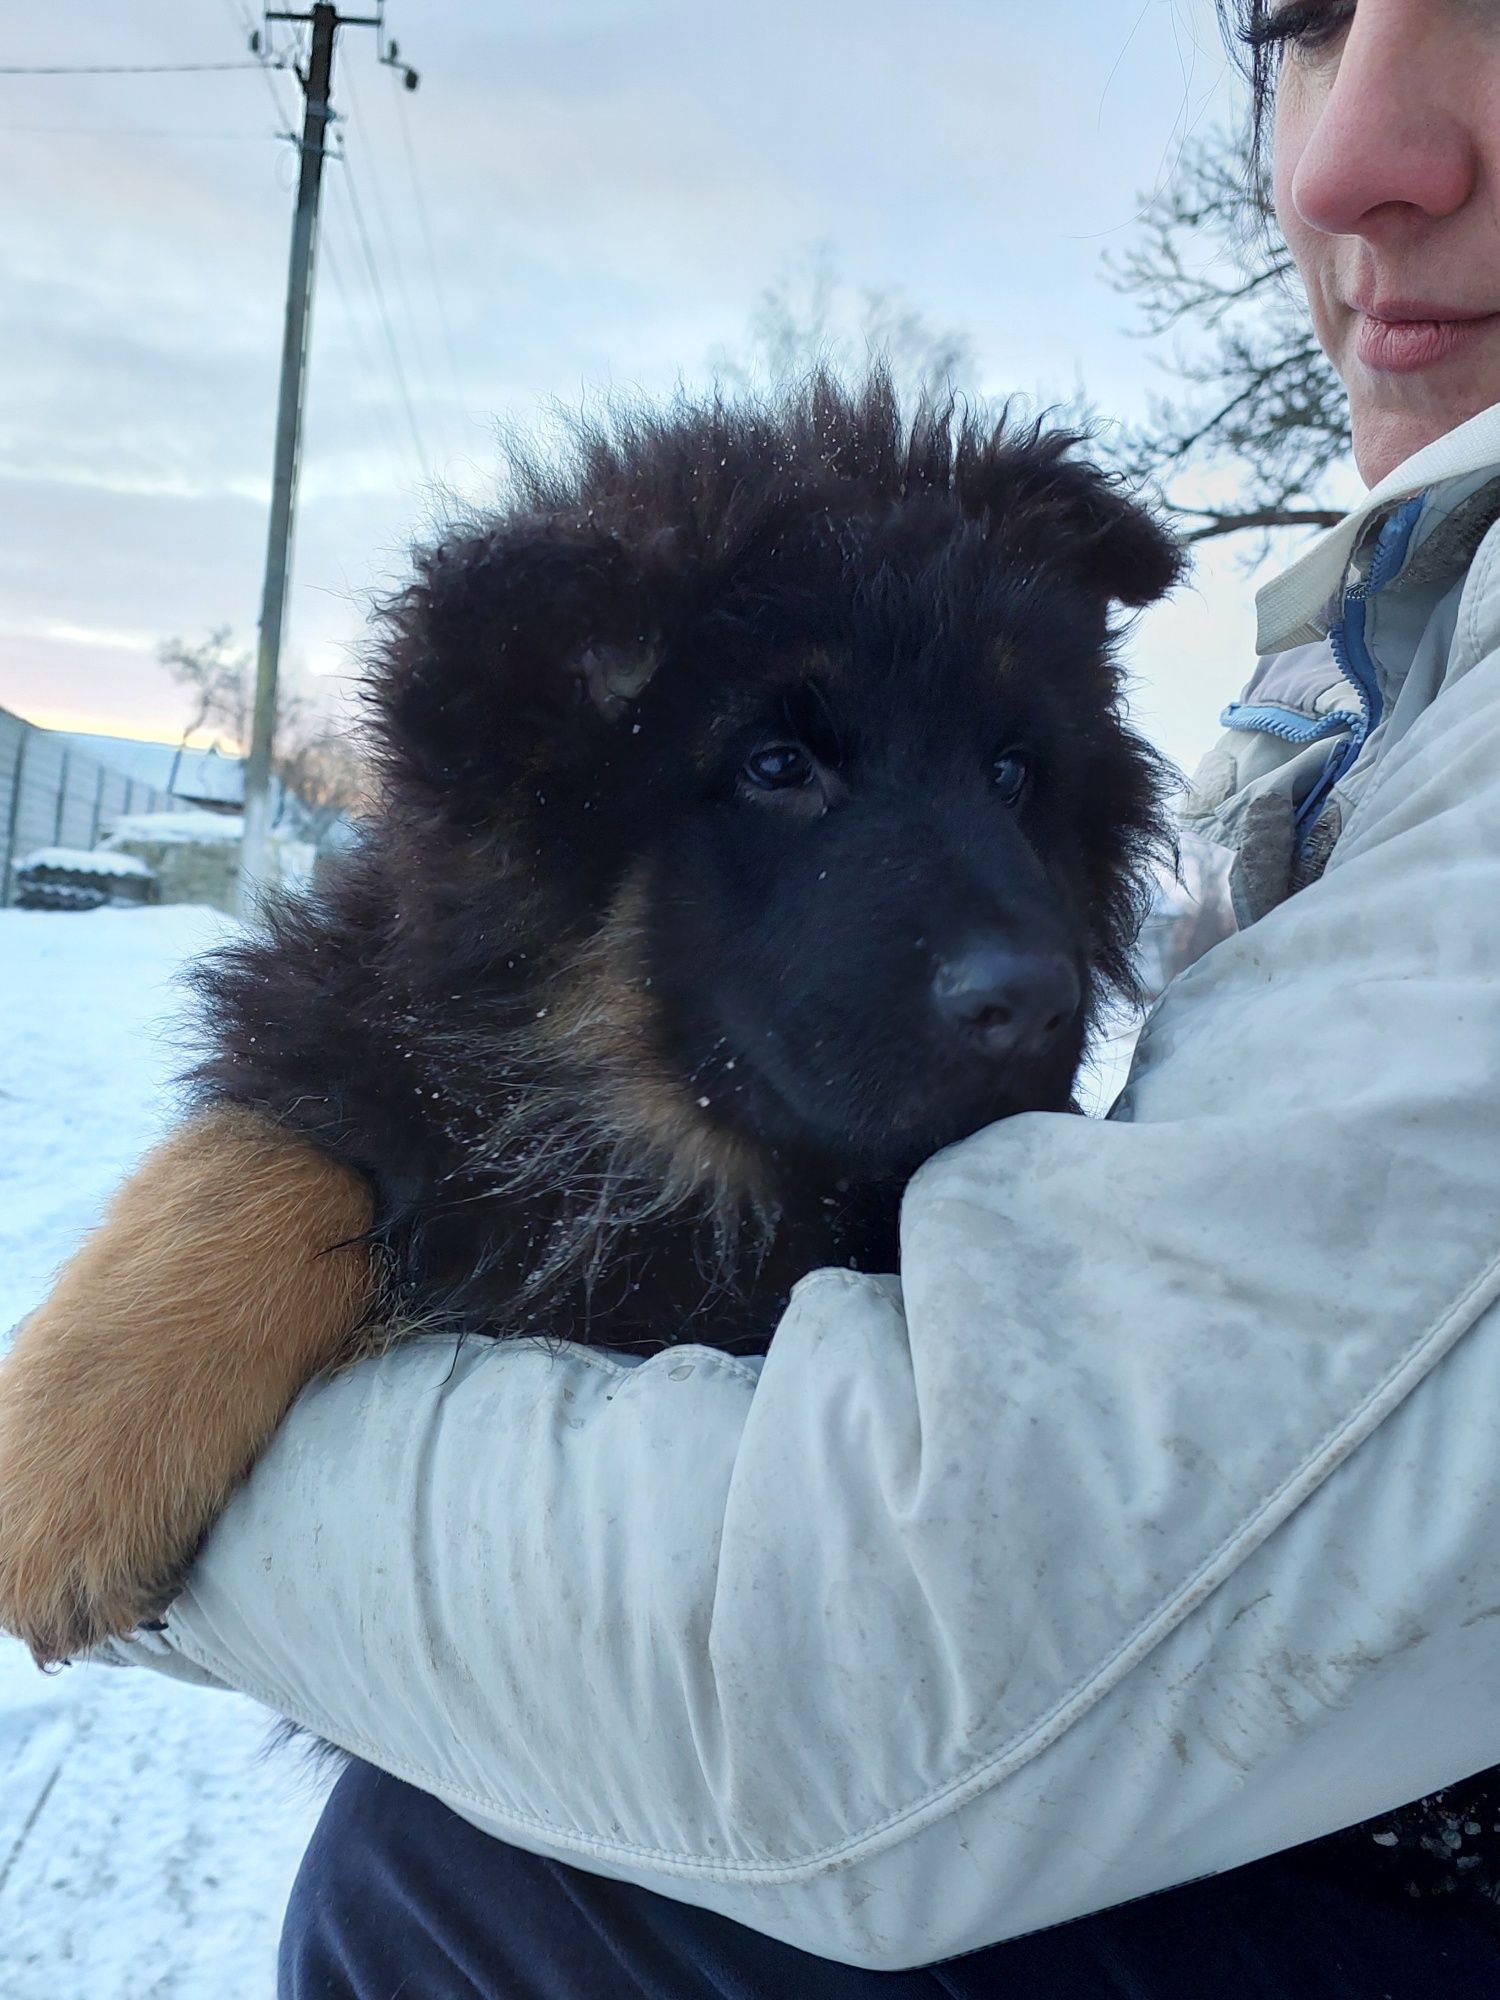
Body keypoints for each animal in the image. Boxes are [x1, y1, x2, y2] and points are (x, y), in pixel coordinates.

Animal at [0, 378, 1184, 1672]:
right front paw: (70, 1461)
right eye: (776, 762)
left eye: (1013, 770)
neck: (666, 1160)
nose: (1036, 1003)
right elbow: (269, 1148)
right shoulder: (358, 1027)